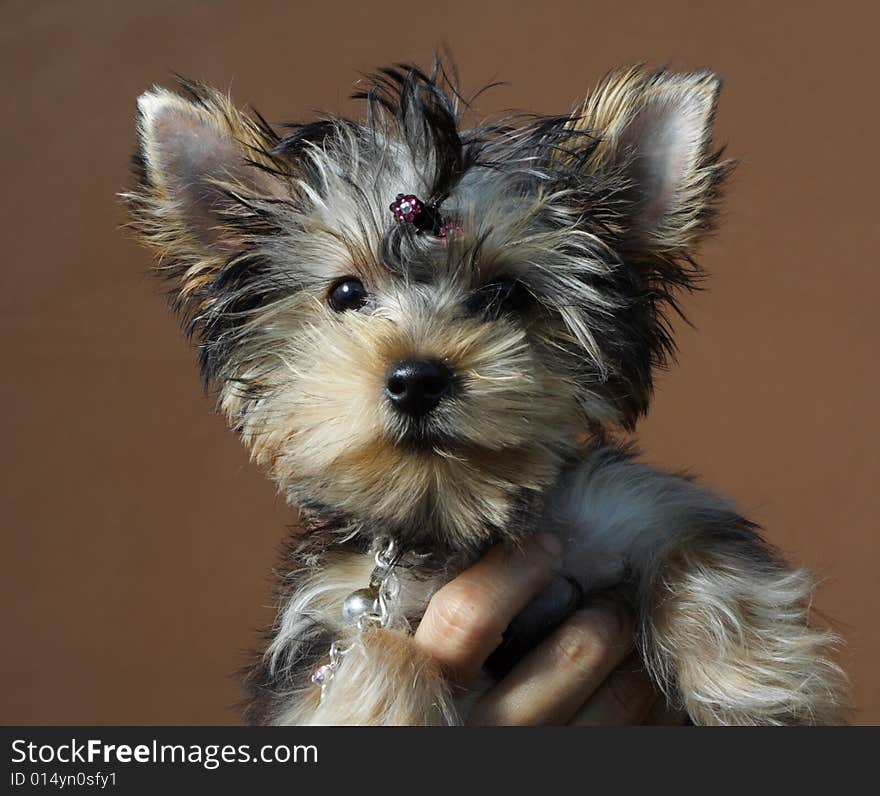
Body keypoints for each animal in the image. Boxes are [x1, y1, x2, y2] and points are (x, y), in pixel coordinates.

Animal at [124, 60, 844, 720]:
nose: (417, 379)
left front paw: (751, 674)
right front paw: (383, 694)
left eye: (506, 294)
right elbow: (371, 650)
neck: (457, 517)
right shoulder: (330, 616)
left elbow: (686, 536)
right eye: (346, 293)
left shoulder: (612, 510)